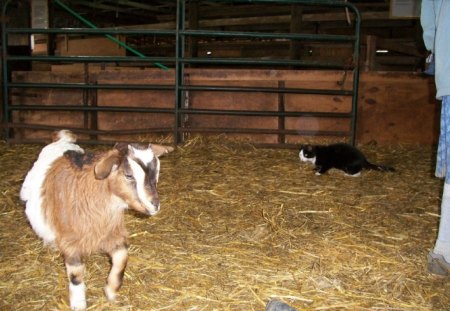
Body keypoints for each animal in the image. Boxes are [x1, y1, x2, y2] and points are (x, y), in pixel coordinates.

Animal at [22, 130, 175, 310]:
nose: (155, 205)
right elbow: (76, 275)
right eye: (128, 175)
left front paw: (111, 290)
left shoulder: (112, 233)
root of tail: (62, 140)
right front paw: (79, 304)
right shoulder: (71, 241)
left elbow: (122, 259)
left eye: (156, 172)